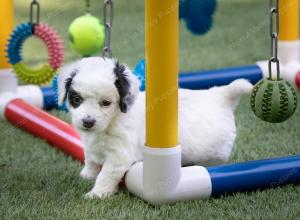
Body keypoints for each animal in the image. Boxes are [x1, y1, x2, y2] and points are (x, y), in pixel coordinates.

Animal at [56, 57, 253, 199]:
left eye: (106, 103)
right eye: (76, 99)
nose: (87, 122)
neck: (113, 119)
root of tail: (220, 95)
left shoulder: (119, 155)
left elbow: (106, 174)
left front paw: (97, 194)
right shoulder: (91, 144)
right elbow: (90, 157)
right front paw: (87, 174)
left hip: (213, 151)